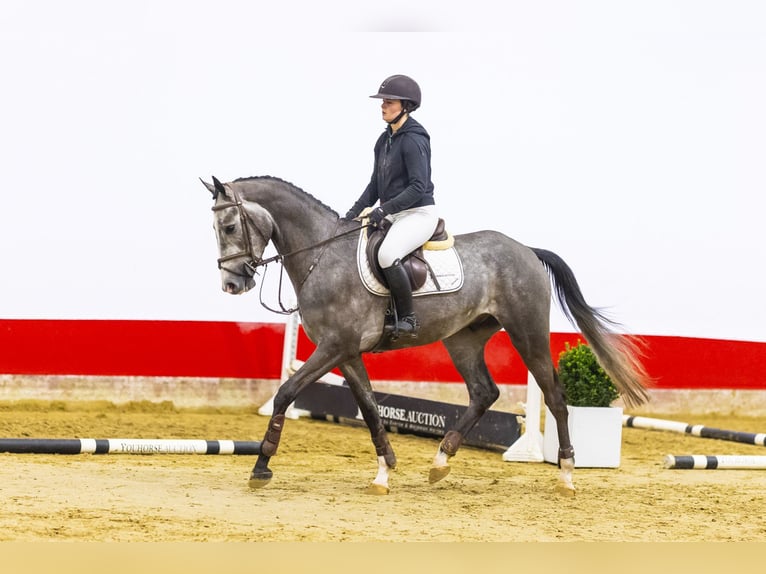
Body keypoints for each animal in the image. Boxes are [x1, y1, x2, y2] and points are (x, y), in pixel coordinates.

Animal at [201, 173, 652, 498]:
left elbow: (285, 393)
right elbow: (369, 409)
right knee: (484, 392)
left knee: (555, 397)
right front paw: (384, 471)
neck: (321, 255)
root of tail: (525, 249)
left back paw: (567, 475)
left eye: (229, 225)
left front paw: (261, 466)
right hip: (463, 339)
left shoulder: (333, 348)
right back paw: (440, 461)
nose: (232, 284)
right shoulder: (347, 354)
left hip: (529, 333)